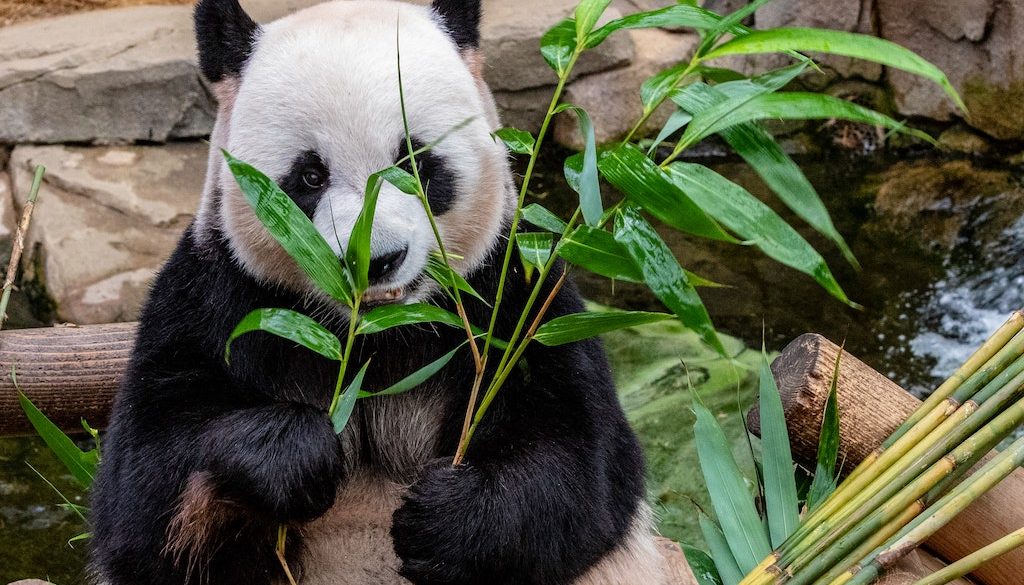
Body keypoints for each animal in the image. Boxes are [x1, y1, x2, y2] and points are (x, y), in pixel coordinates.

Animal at [90, 1, 667, 584]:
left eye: (414, 161)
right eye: (310, 175)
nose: (376, 259)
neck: (376, 334)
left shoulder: (516, 296)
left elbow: (583, 465)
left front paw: (446, 520)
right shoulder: (218, 295)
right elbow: (145, 489)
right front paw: (294, 455)